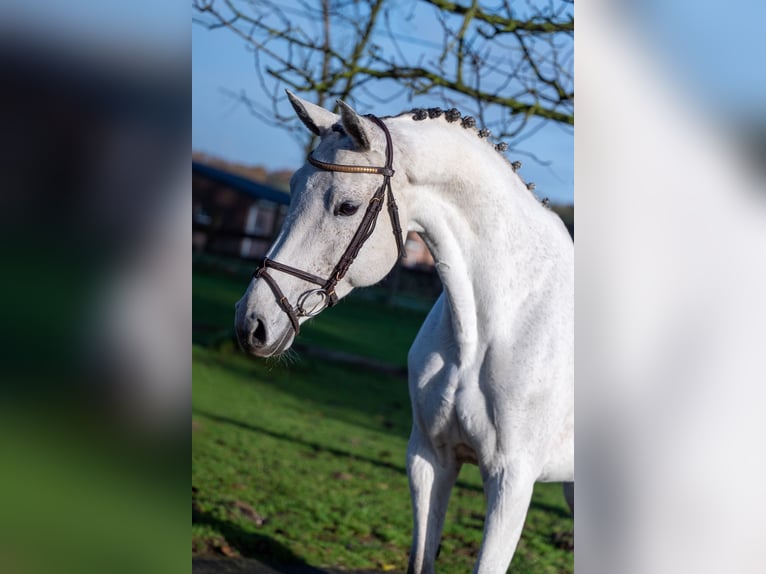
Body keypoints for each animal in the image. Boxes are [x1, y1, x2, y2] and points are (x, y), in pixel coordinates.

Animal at [236, 92, 576, 572]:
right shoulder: (429, 459)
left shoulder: (511, 481)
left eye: (347, 206)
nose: (252, 322)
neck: (487, 329)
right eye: (293, 188)